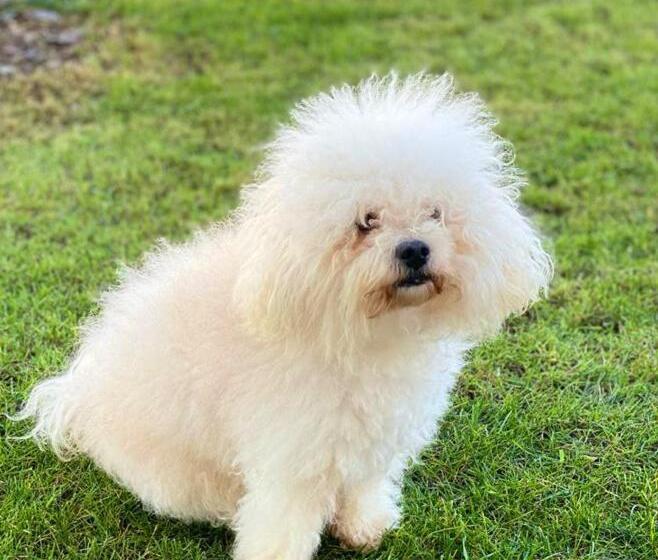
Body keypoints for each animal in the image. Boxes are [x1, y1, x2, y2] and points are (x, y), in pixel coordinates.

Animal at [17, 73, 551, 560]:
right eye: (366, 222)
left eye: (435, 213)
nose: (415, 249)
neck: (362, 331)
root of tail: (78, 396)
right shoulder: (290, 456)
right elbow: (282, 526)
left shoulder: (372, 436)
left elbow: (363, 483)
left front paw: (364, 526)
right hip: (175, 471)